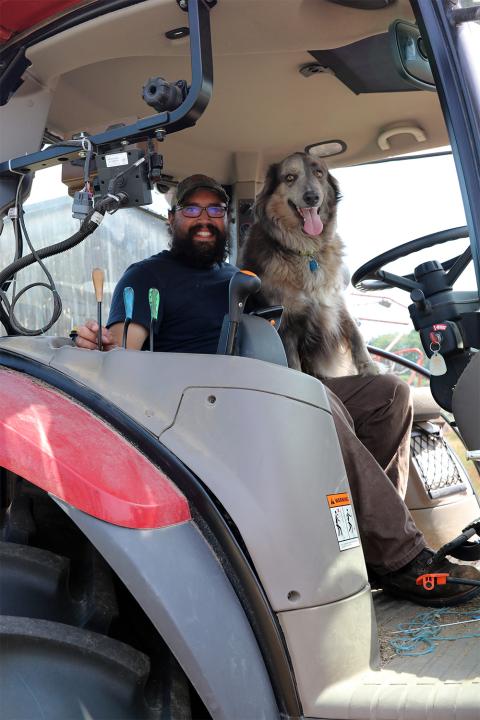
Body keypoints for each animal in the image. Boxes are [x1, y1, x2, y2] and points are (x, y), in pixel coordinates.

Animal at [238, 150, 376, 380]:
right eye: (289, 177)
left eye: (319, 173)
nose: (312, 197)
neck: (306, 251)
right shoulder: (286, 322)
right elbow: (292, 363)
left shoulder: (336, 300)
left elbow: (354, 331)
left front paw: (368, 366)